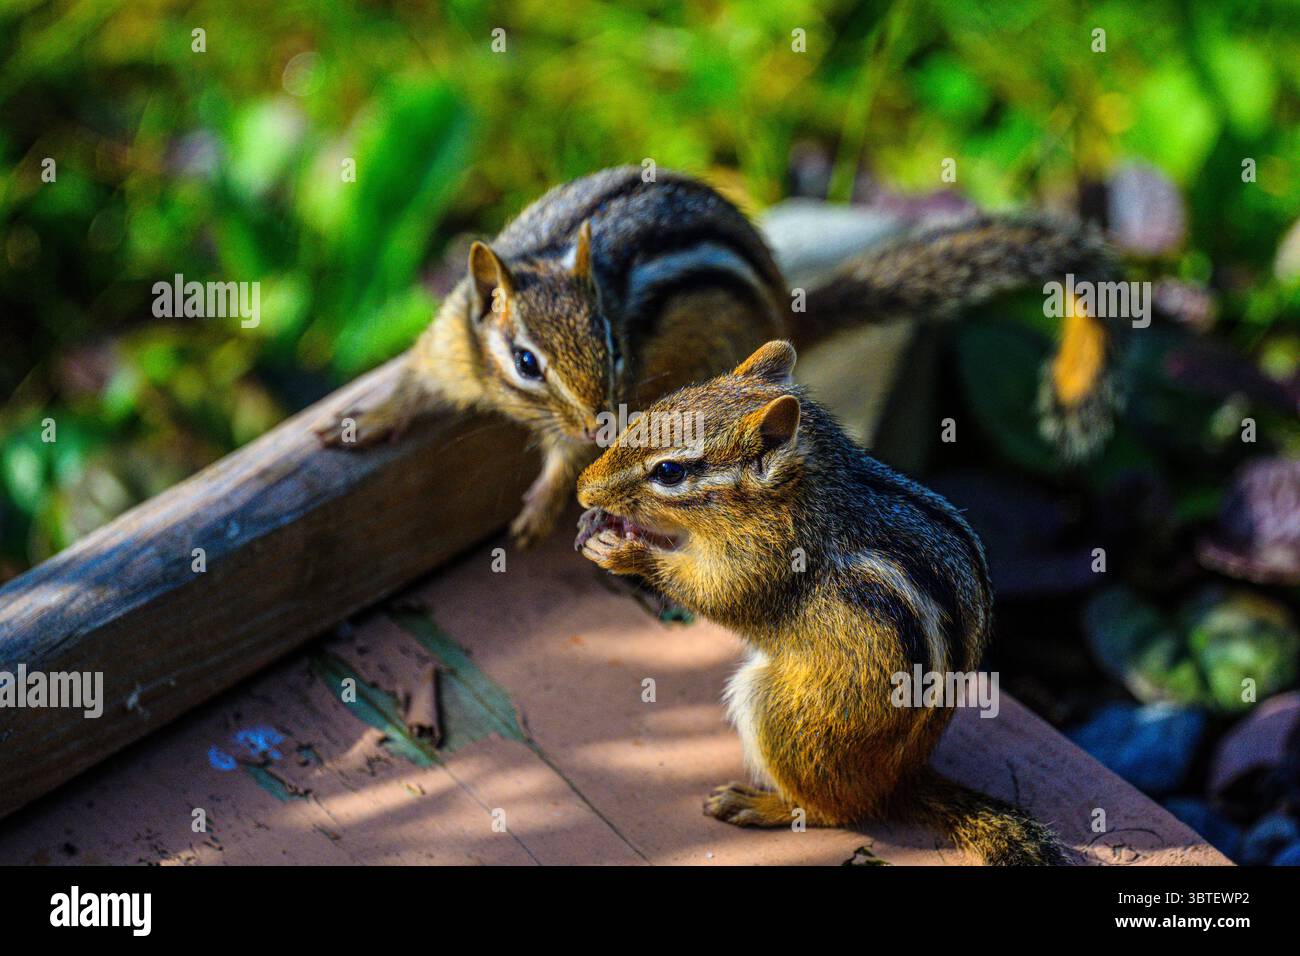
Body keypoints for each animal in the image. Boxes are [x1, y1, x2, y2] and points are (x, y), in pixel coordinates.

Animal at [316, 166, 1120, 547]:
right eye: (525, 362)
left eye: (613, 343)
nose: (602, 426)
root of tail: (783, 307)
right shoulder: (447, 347)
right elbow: (411, 386)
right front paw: (360, 422)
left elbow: (563, 461)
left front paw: (539, 509)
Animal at [574, 340, 1069, 865]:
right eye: (641, 417)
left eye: (668, 471)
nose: (583, 487)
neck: (800, 493)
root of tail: (898, 782)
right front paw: (598, 523)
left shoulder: (767, 560)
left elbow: (717, 594)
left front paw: (627, 552)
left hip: (785, 711)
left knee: (835, 811)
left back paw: (760, 804)